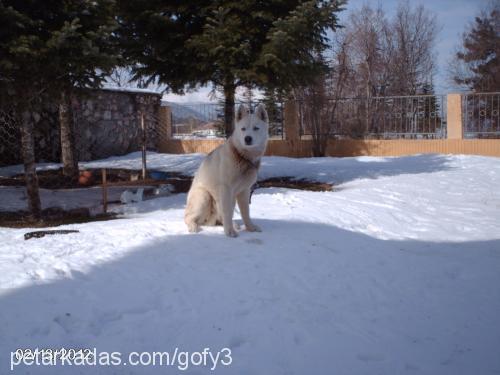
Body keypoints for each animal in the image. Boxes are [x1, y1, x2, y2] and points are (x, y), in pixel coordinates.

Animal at [185, 103, 270, 238]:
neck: (243, 157)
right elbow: (227, 212)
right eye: (243, 129)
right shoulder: (226, 189)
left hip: (230, 198)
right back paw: (194, 226)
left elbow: (246, 212)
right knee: (188, 217)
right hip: (205, 196)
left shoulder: (244, 191)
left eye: (256, 128)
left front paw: (250, 228)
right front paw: (229, 231)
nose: (247, 138)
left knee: (219, 218)